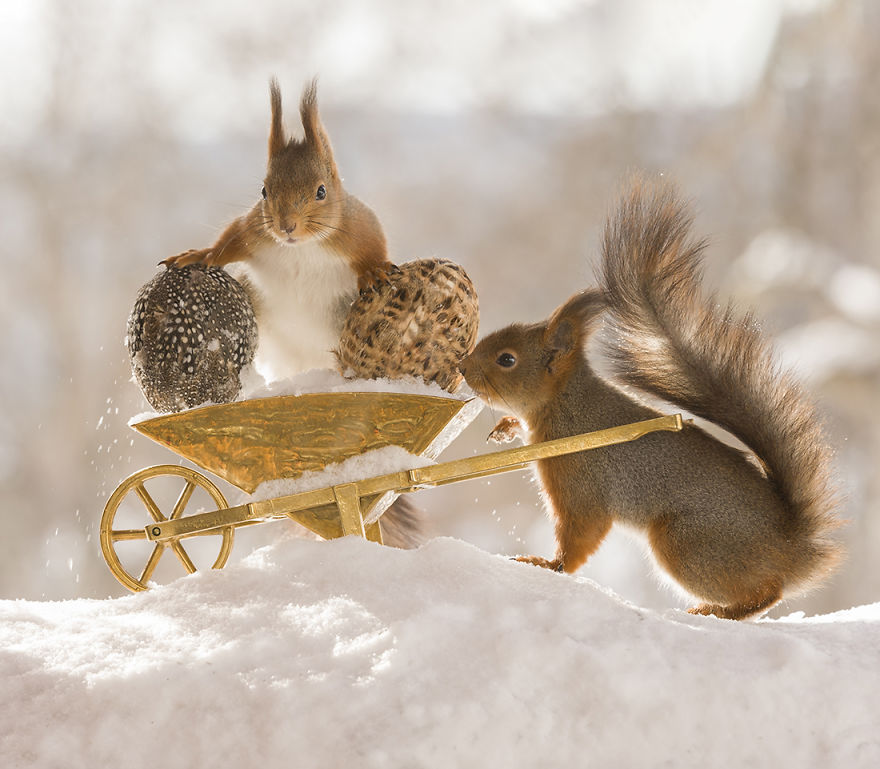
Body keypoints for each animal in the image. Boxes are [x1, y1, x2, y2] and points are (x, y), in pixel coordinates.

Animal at [458, 180, 844, 616]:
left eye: (507, 359)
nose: (462, 367)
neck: (565, 406)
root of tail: (791, 548)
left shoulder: (581, 482)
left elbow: (580, 537)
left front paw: (546, 564)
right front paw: (506, 428)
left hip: (687, 544)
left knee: (767, 591)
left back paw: (720, 610)